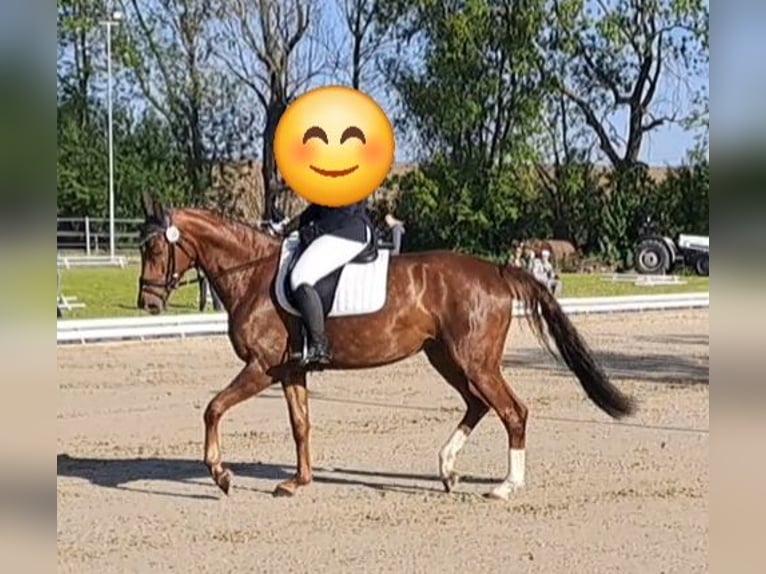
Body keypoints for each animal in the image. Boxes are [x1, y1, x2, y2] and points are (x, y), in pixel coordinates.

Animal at [135, 192, 636, 500]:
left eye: (155, 250)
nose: (148, 302)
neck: (253, 274)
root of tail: (495, 271)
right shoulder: (290, 369)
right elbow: (301, 425)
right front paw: (298, 482)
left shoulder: (261, 367)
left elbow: (213, 408)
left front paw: (220, 475)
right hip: (447, 358)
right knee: (478, 404)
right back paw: (447, 469)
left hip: (474, 360)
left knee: (512, 411)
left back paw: (504, 487)